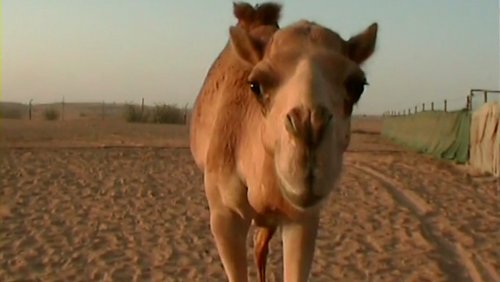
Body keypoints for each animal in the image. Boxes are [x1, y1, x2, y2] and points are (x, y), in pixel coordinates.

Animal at [189, 2, 376, 282]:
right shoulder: (224, 216)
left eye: (357, 86)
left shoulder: (302, 218)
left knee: (260, 247)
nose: (308, 129)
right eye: (255, 84)